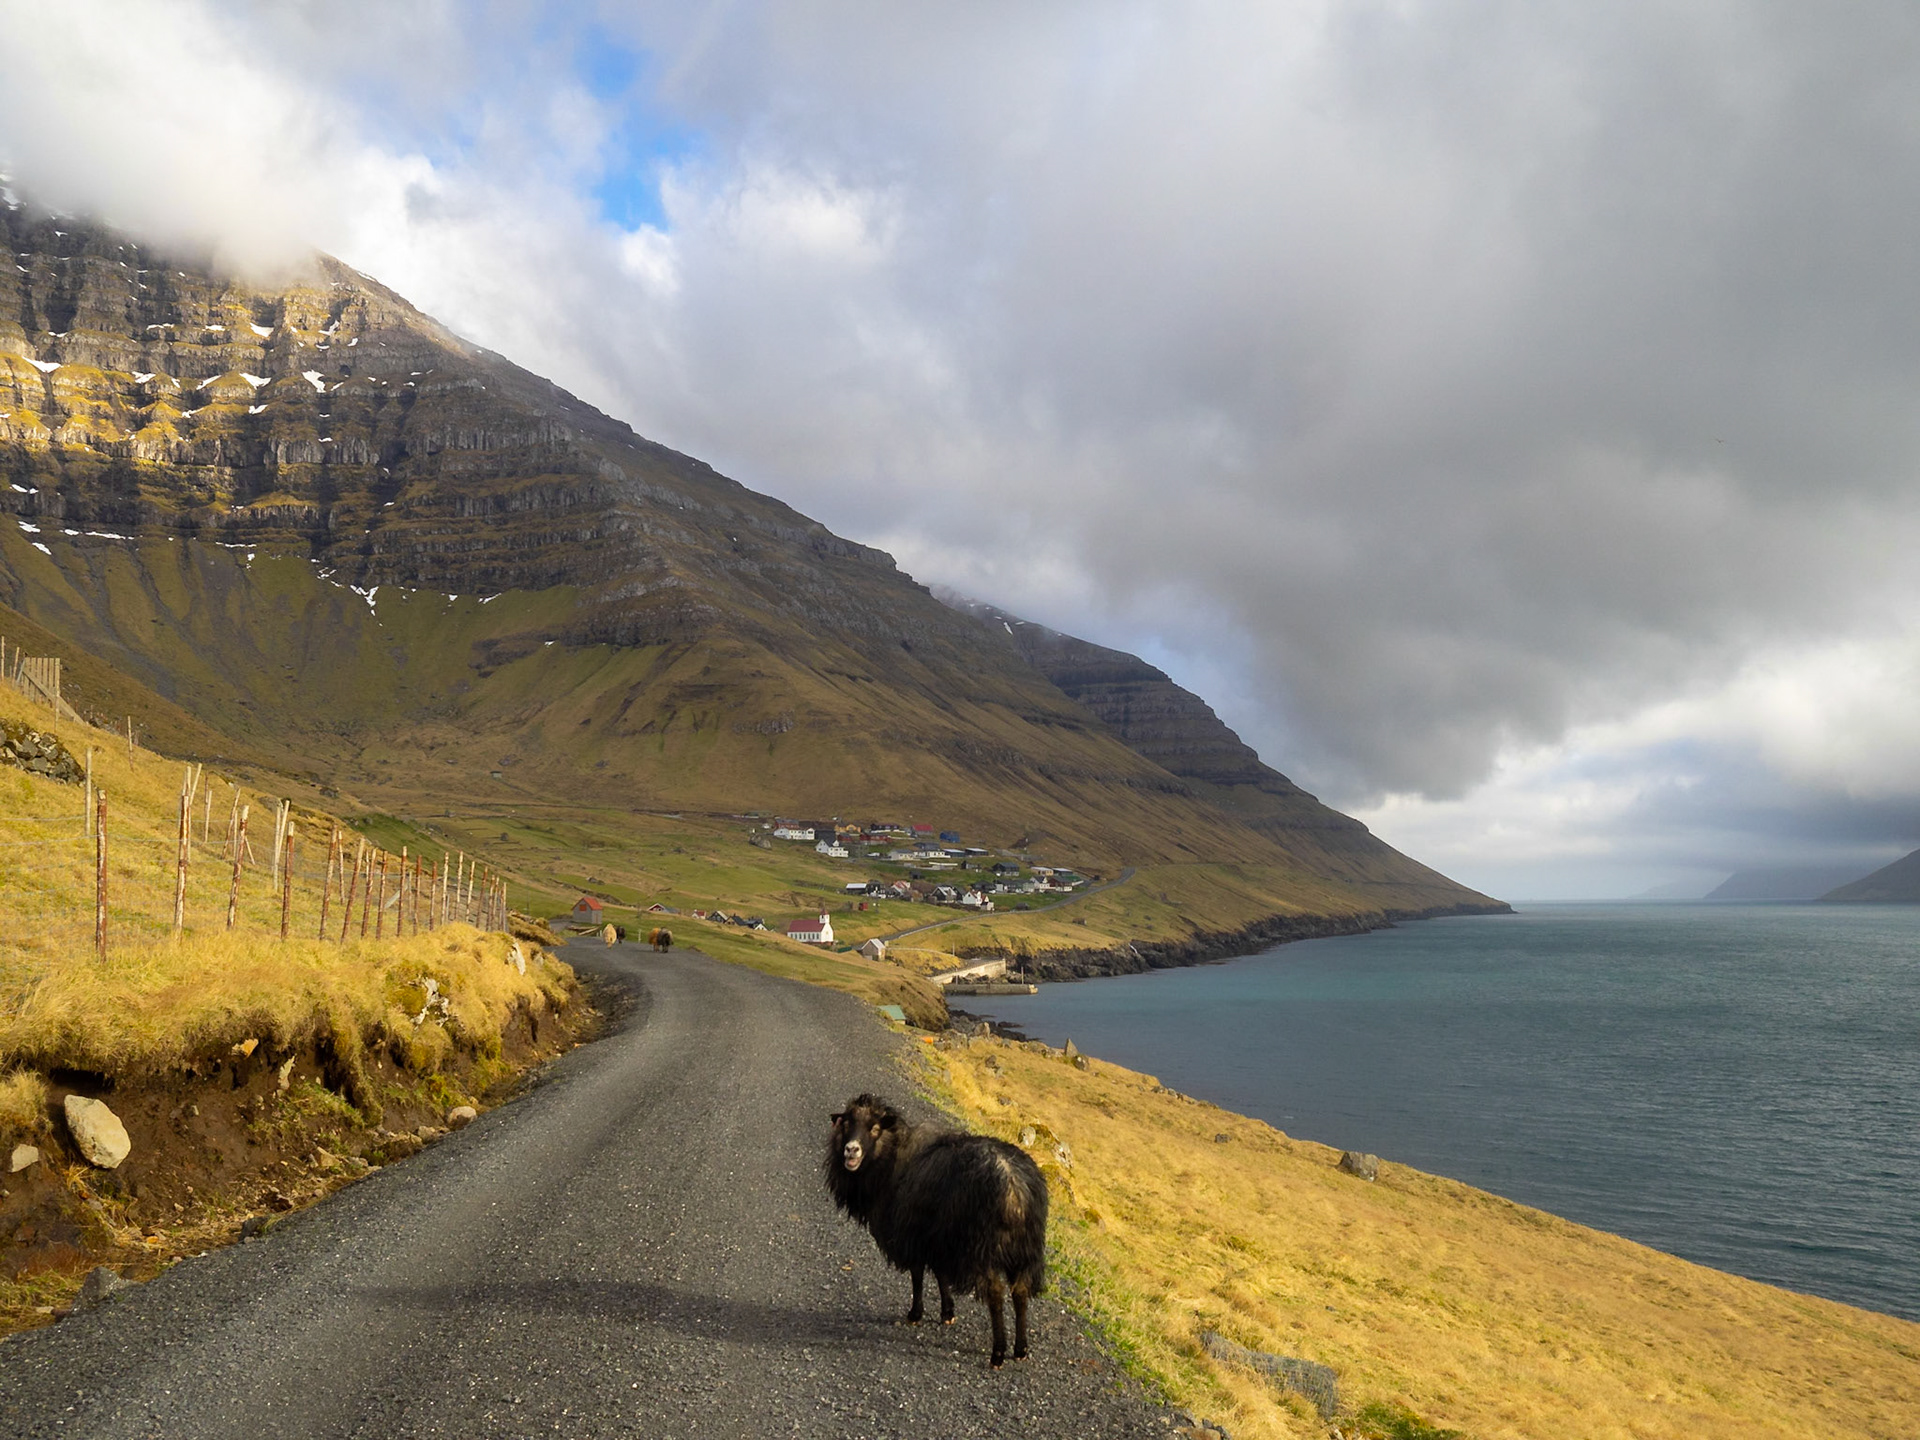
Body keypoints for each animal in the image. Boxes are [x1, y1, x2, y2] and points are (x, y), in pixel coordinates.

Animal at [826, 1092, 1048, 1367]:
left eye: (875, 1128)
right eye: (846, 1123)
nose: (851, 1149)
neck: (891, 1159)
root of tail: (1016, 1190)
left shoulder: (913, 1234)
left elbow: (917, 1276)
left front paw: (915, 1314)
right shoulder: (939, 1240)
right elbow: (941, 1275)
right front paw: (947, 1312)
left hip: (982, 1249)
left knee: (996, 1293)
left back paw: (998, 1353)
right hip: (1024, 1251)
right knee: (1020, 1292)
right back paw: (1020, 1349)